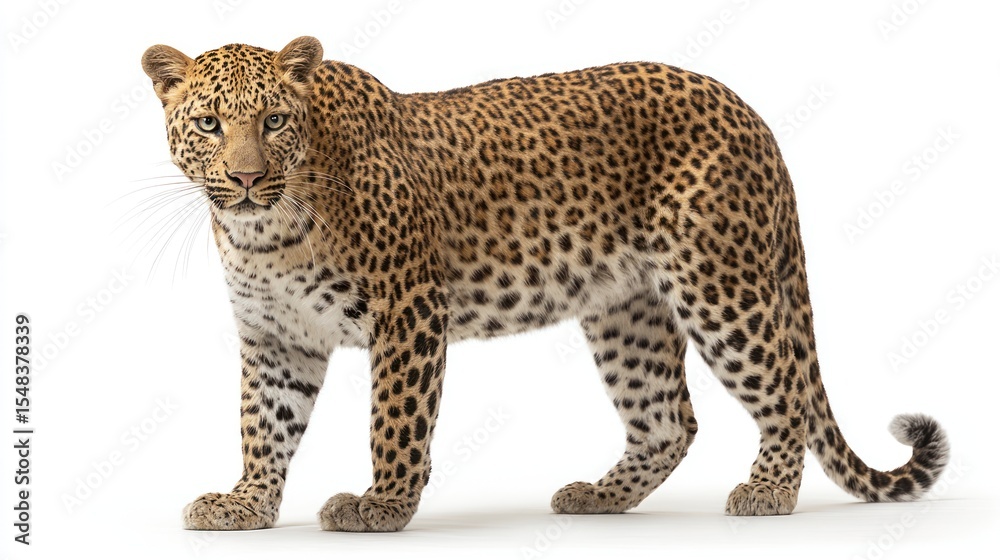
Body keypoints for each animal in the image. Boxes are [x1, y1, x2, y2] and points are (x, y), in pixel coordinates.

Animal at [141, 36, 950, 532]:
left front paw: (382, 506)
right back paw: (599, 496)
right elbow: (262, 425)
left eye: (275, 120)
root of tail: (747, 111)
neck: (266, 233)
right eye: (209, 124)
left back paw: (769, 492)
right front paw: (245, 503)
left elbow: (394, 421)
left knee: (783, 388)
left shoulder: (409, 311)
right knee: (669, 420)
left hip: (720, 285)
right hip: (627, 309)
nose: (248, 178)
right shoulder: (277, 338)